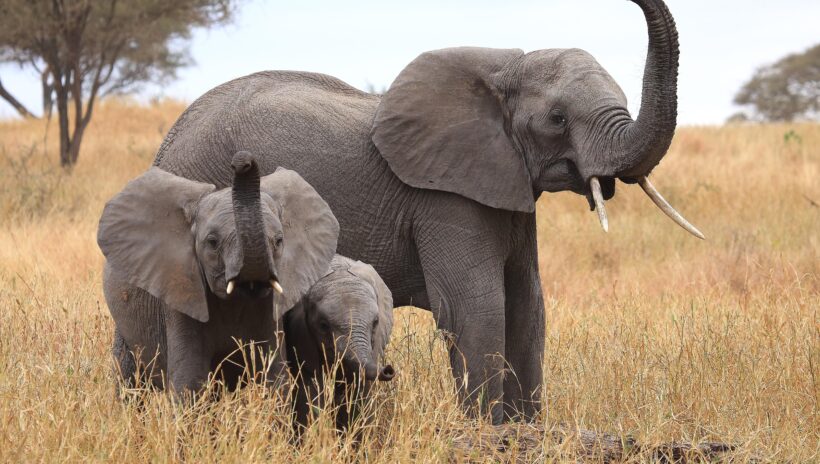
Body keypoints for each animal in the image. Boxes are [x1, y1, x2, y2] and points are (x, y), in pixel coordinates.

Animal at [98, 152, 339, 396]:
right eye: (212, 243)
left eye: (279, 241)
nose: (242, 161)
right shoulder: (181, 293)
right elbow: (189, 381)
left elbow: (274, 377)